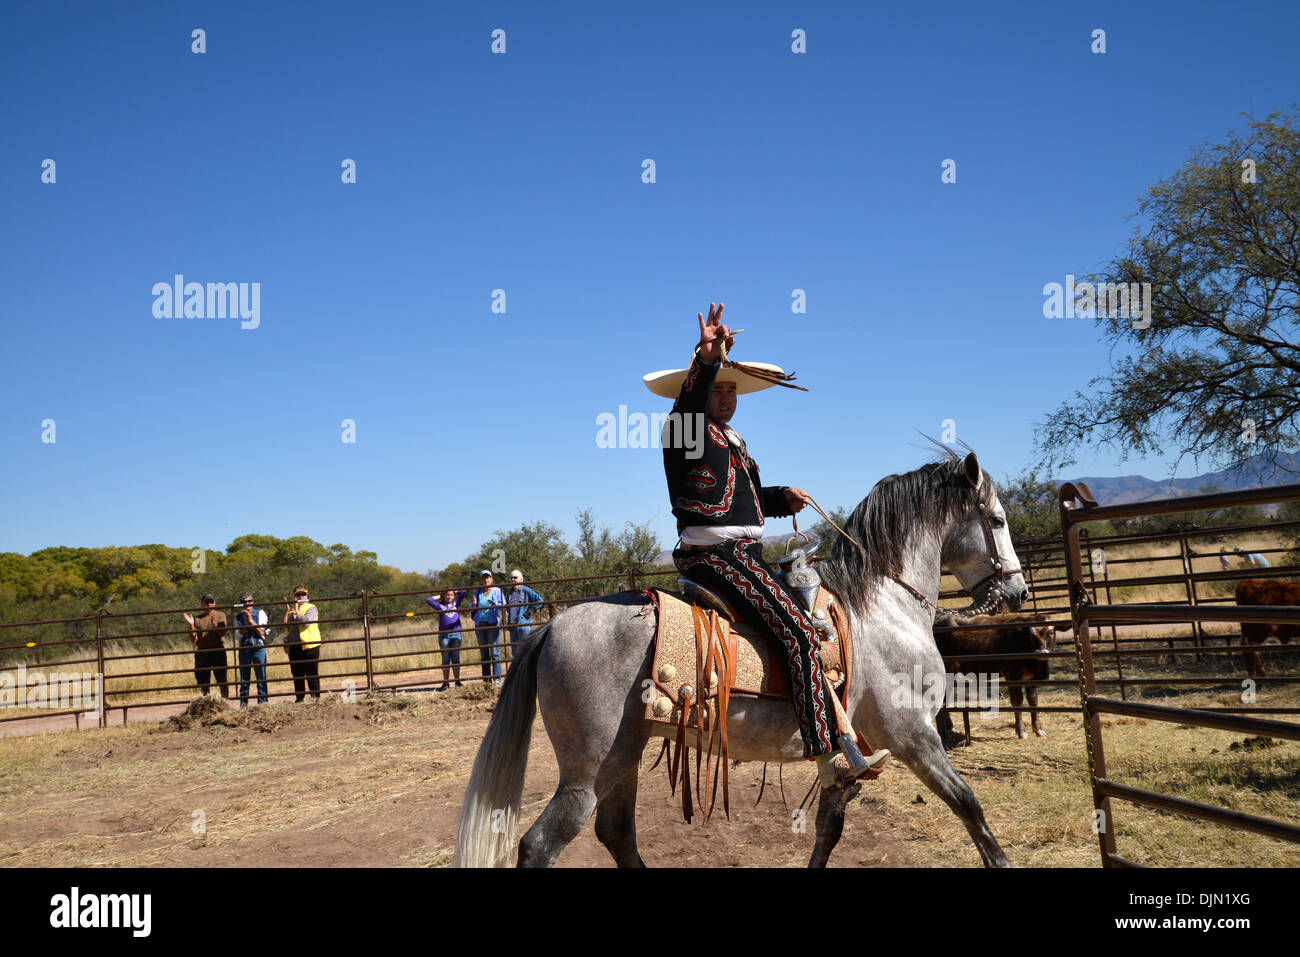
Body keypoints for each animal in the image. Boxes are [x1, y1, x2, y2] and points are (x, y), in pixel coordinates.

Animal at [454, 455, 1024, 868]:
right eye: (996, 519)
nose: (1016, 591)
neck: (883, 608)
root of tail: (552, 626)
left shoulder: (847, 755)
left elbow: (829, 830)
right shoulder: (911, 736)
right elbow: (970, 805)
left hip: (625, 755)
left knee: (616, 833)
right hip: (588, 771)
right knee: (540, 844)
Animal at [930, 616, 1060, 743]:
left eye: (1050, 632)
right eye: (1031, 635)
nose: (1041, 652)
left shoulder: (1031, 680)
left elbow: (1033, 701)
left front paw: (1038, 729)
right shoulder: (1012, 675)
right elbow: (1017, 701)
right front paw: (1021, 731)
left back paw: (948, 726)